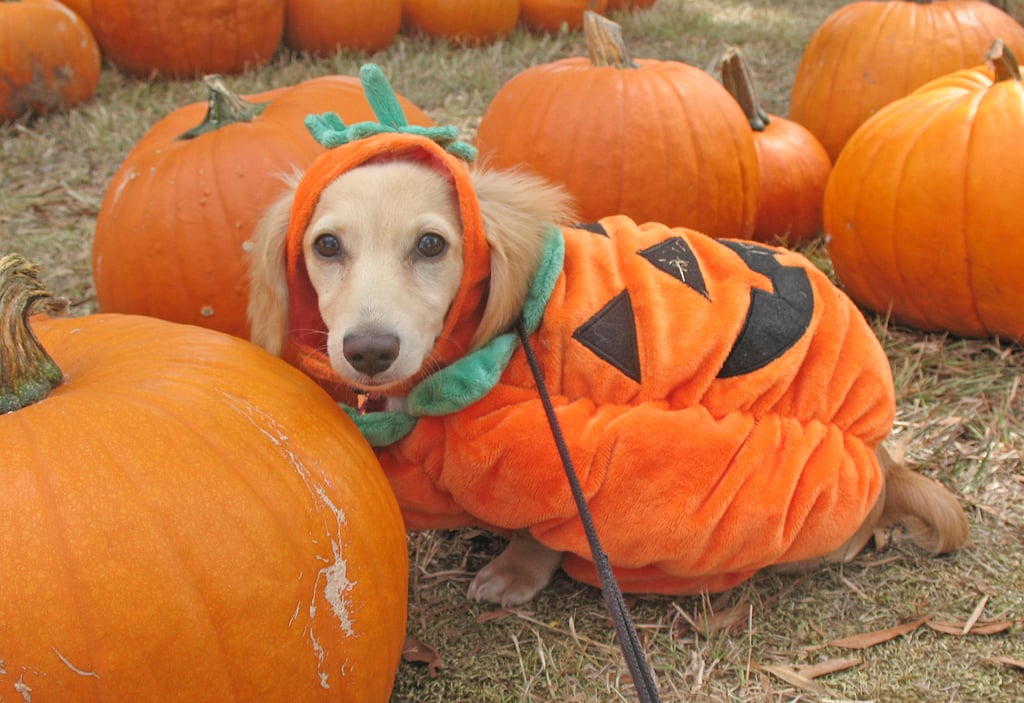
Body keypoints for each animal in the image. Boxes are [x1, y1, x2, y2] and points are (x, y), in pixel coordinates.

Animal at [245, 135, 966, 605]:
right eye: (326, 246)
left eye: (431, 244)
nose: (369, 350)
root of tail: (885, 460)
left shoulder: (551, 455)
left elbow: (537, 529)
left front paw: (515, 574)